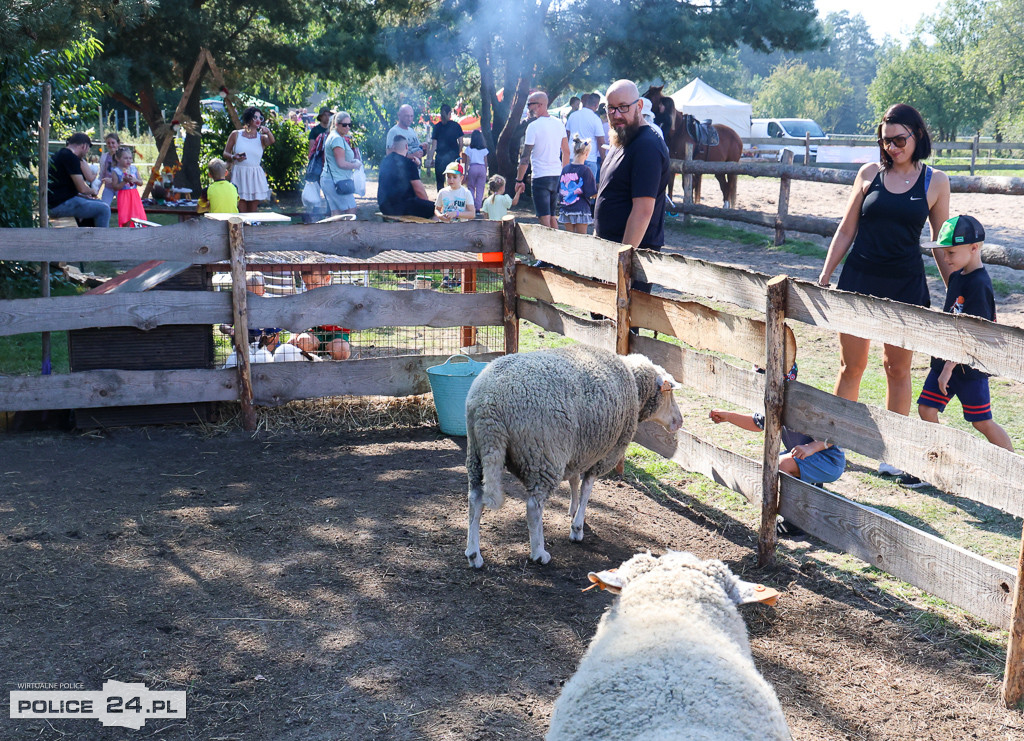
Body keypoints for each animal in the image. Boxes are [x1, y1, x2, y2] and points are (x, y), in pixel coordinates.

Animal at [464, 345, 679, 569]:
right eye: (669, 393)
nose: (679, 422)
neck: (635, 387)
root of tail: (488, 405)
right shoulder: (605, 453)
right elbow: (587, 488)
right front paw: (577, 528)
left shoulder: (578, 450)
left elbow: (575, 481)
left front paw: (573, 511)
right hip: (544, 455)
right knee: (533, 507)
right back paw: (539, 553)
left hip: (478, 453)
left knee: (475, 499)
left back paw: (474, 554)